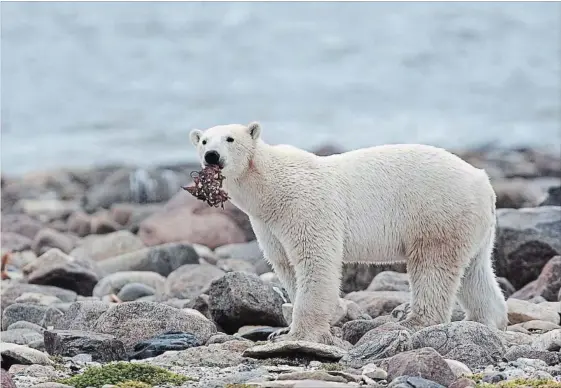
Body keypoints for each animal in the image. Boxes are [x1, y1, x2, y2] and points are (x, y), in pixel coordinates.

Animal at [188, 122, 508, 346]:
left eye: (229, 138)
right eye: (204, 140)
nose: (212, 156)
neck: (270, 188)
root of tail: (483, 181)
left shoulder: (304, 207)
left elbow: (315, 260)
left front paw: (299, 334)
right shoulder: (267, 224)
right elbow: (285, 265)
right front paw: (284, 331)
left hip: (437, 213)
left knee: (432, 267)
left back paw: (414, 322)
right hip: (472, 224)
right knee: (475, 271)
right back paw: (486, 320)